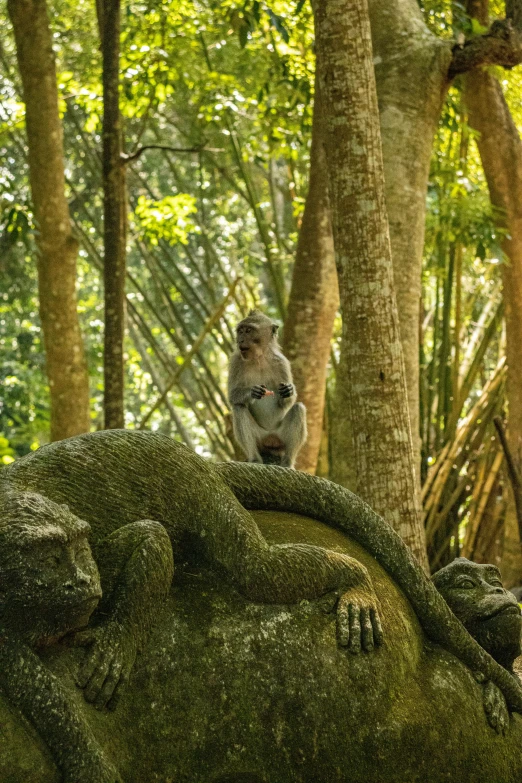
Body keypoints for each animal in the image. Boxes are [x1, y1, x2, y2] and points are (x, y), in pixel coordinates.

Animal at [226, 310, 304, 472]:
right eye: (240, 331)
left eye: (248, 330)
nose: (240, 340)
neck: (259, 357)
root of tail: (270, 439)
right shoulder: (236, 361)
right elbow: (232, 396)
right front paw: (251, 392)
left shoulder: (282, 362)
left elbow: (286, 403)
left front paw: (289, 391)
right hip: (260, 437)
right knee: (238, 407)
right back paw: (255, 459)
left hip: (280, 437)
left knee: (298, 408)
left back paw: (288, 463)